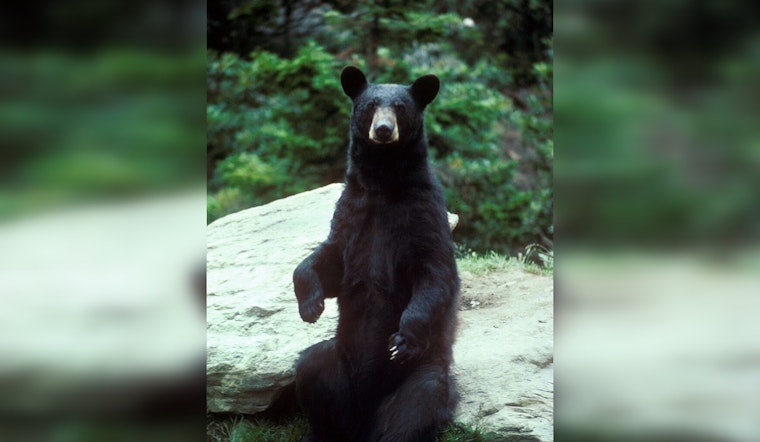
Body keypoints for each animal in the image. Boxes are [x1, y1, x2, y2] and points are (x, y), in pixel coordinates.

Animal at [293, 66, 460, 442]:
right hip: (337, 365)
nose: (383, 130)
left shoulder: (423, 214)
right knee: (311, 366)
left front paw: (403, 339)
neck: (383, 184)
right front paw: (311, 305)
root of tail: (362, 420)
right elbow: (329, 259)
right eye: (370, 105)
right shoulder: (352, 211)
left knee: (417, 403)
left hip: (418, 376)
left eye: (399, 107)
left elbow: (434, 274)